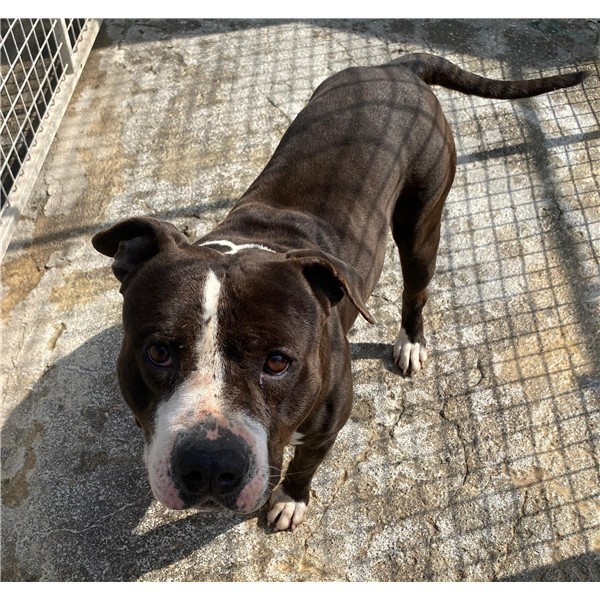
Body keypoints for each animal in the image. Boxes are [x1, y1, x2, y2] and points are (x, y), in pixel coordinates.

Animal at [92, 54, 588, 531]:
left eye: (278, 362)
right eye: (158, 352)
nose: (210, 464)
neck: (252, 242)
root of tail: (397, 67)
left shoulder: (329, 424)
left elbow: (304, 465)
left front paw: (290, 500)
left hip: (421, 227)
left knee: (416, 290)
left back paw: (410, 342)